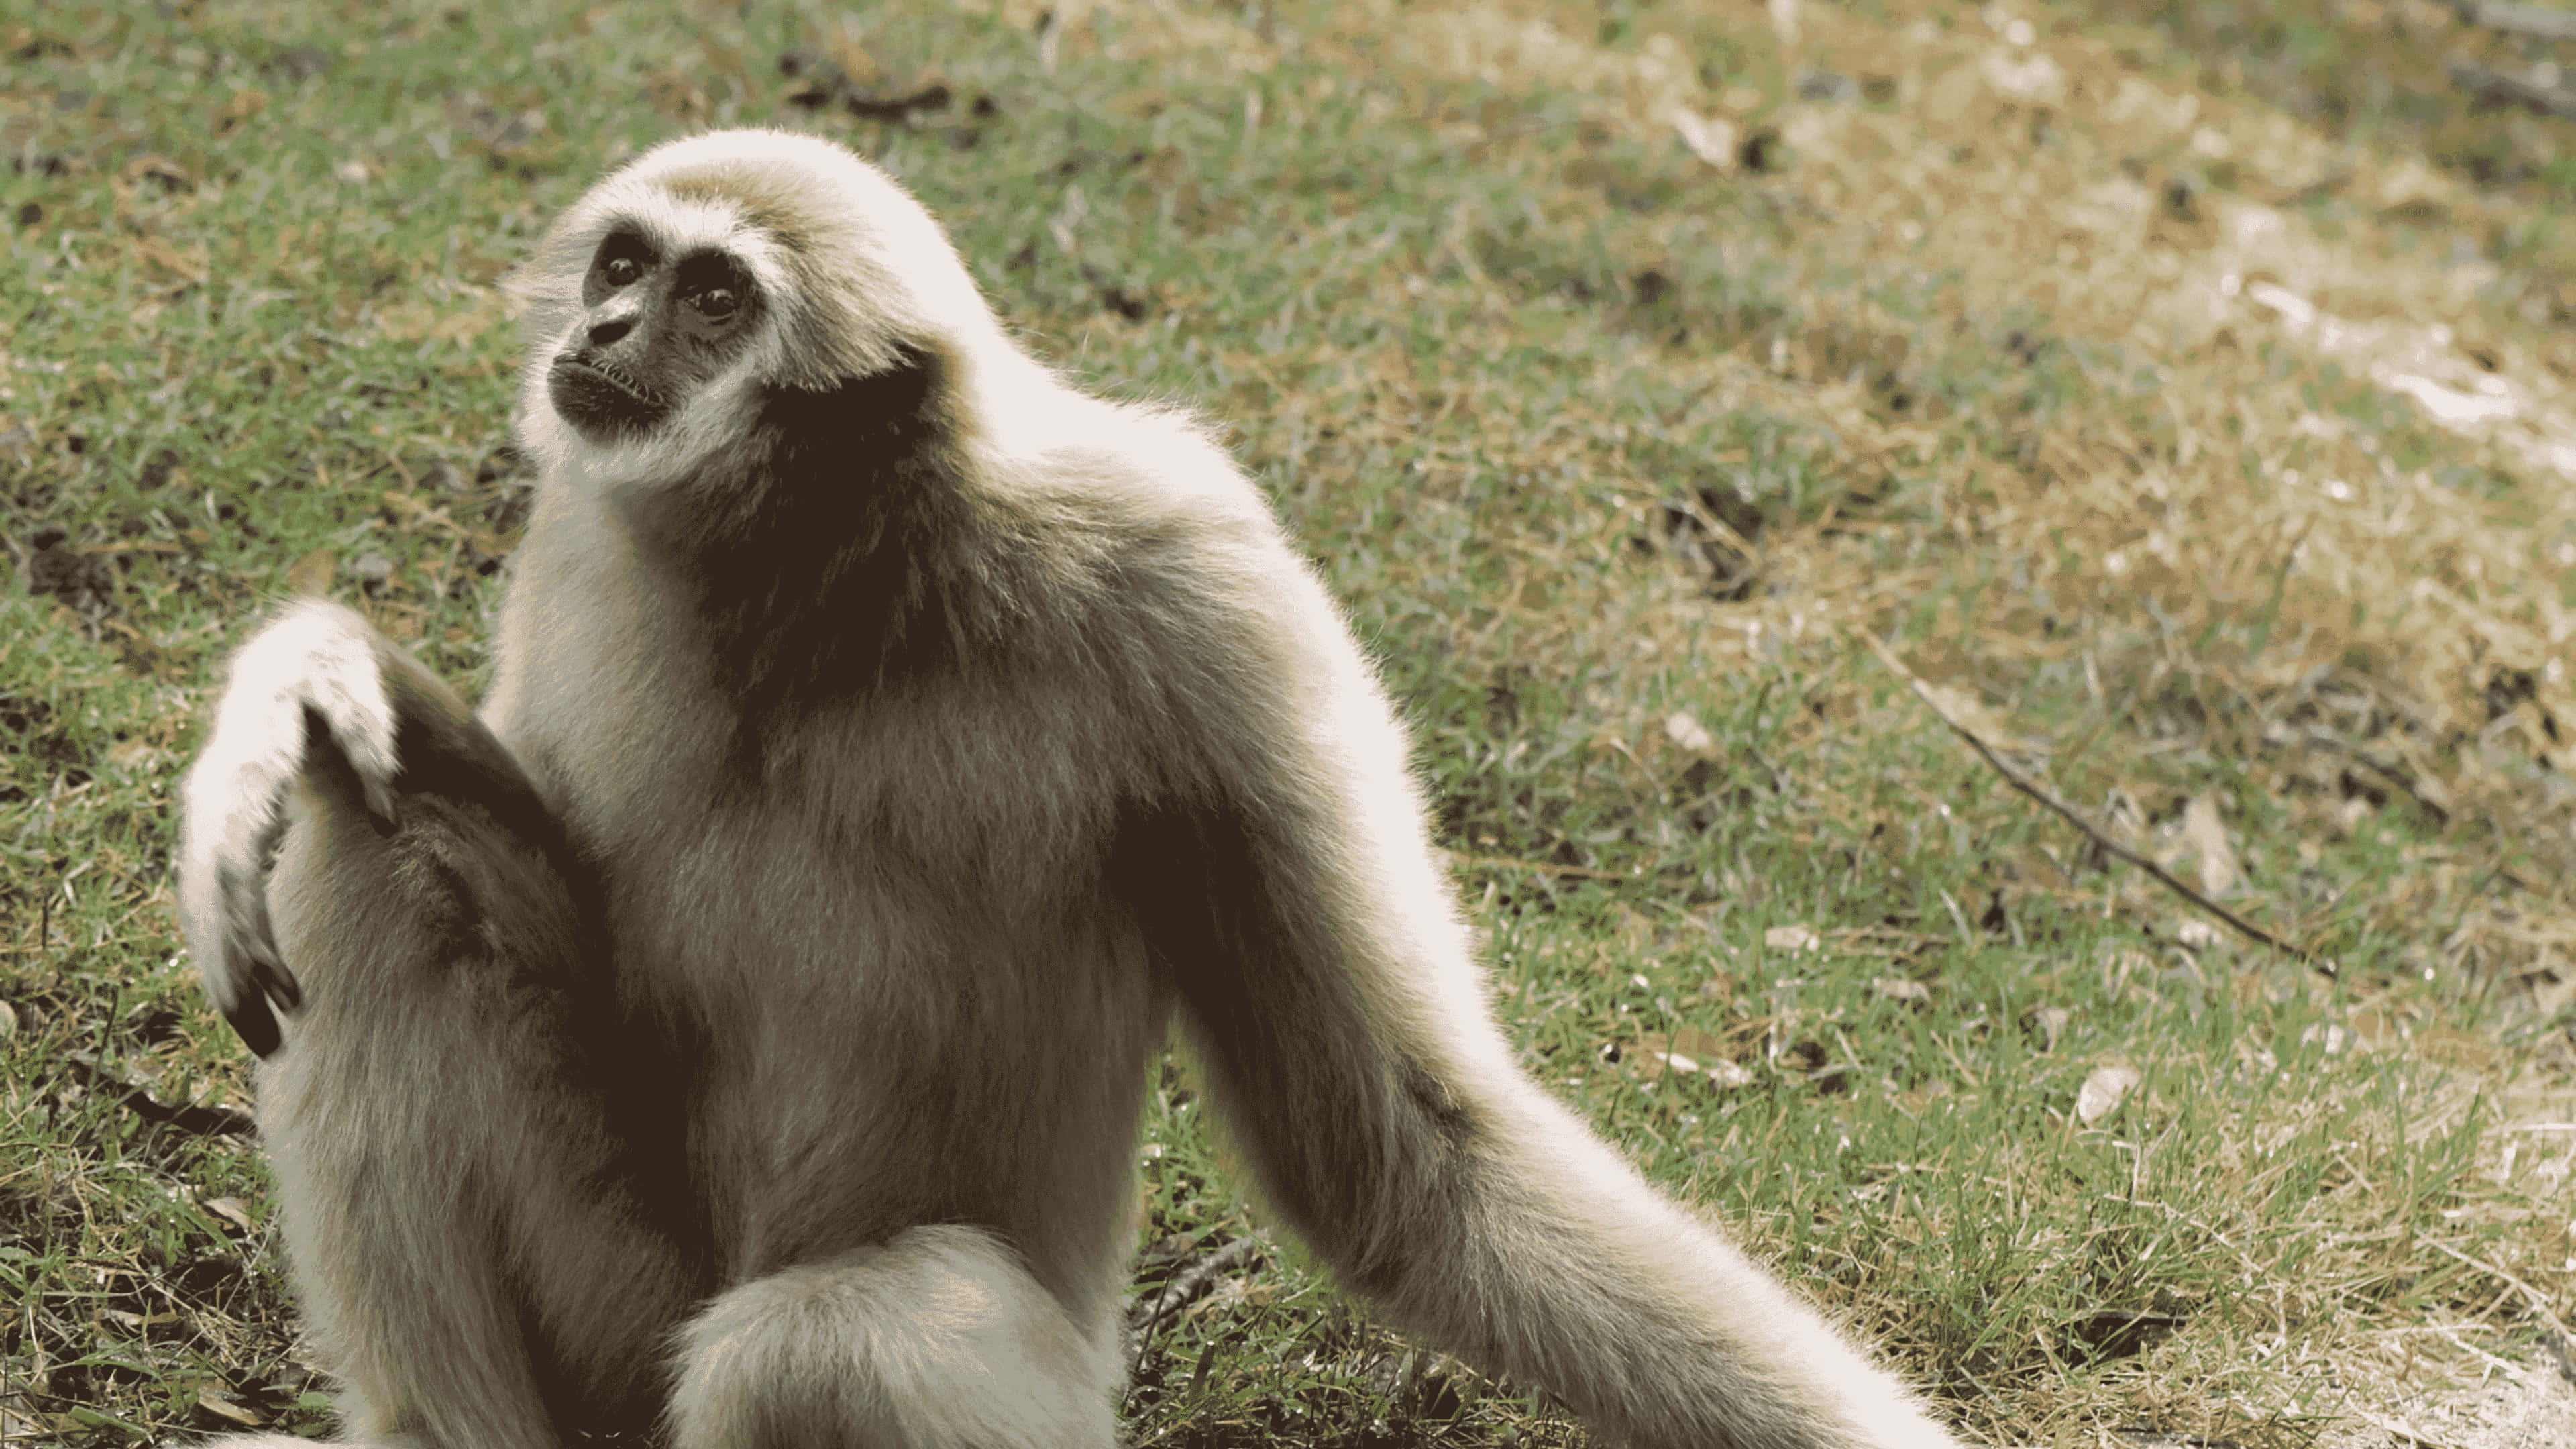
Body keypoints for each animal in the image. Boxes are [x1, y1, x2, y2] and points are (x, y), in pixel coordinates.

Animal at [178, 129, 1965, 1449]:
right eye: (625, 265)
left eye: (714, 298)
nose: (602, 331)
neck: (837, 586)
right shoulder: (583, 532)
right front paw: (295, 682)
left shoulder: (1203, 581)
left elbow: (1400, 1156)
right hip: (620, 1336)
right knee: (369, 840)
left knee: (830, 1348)